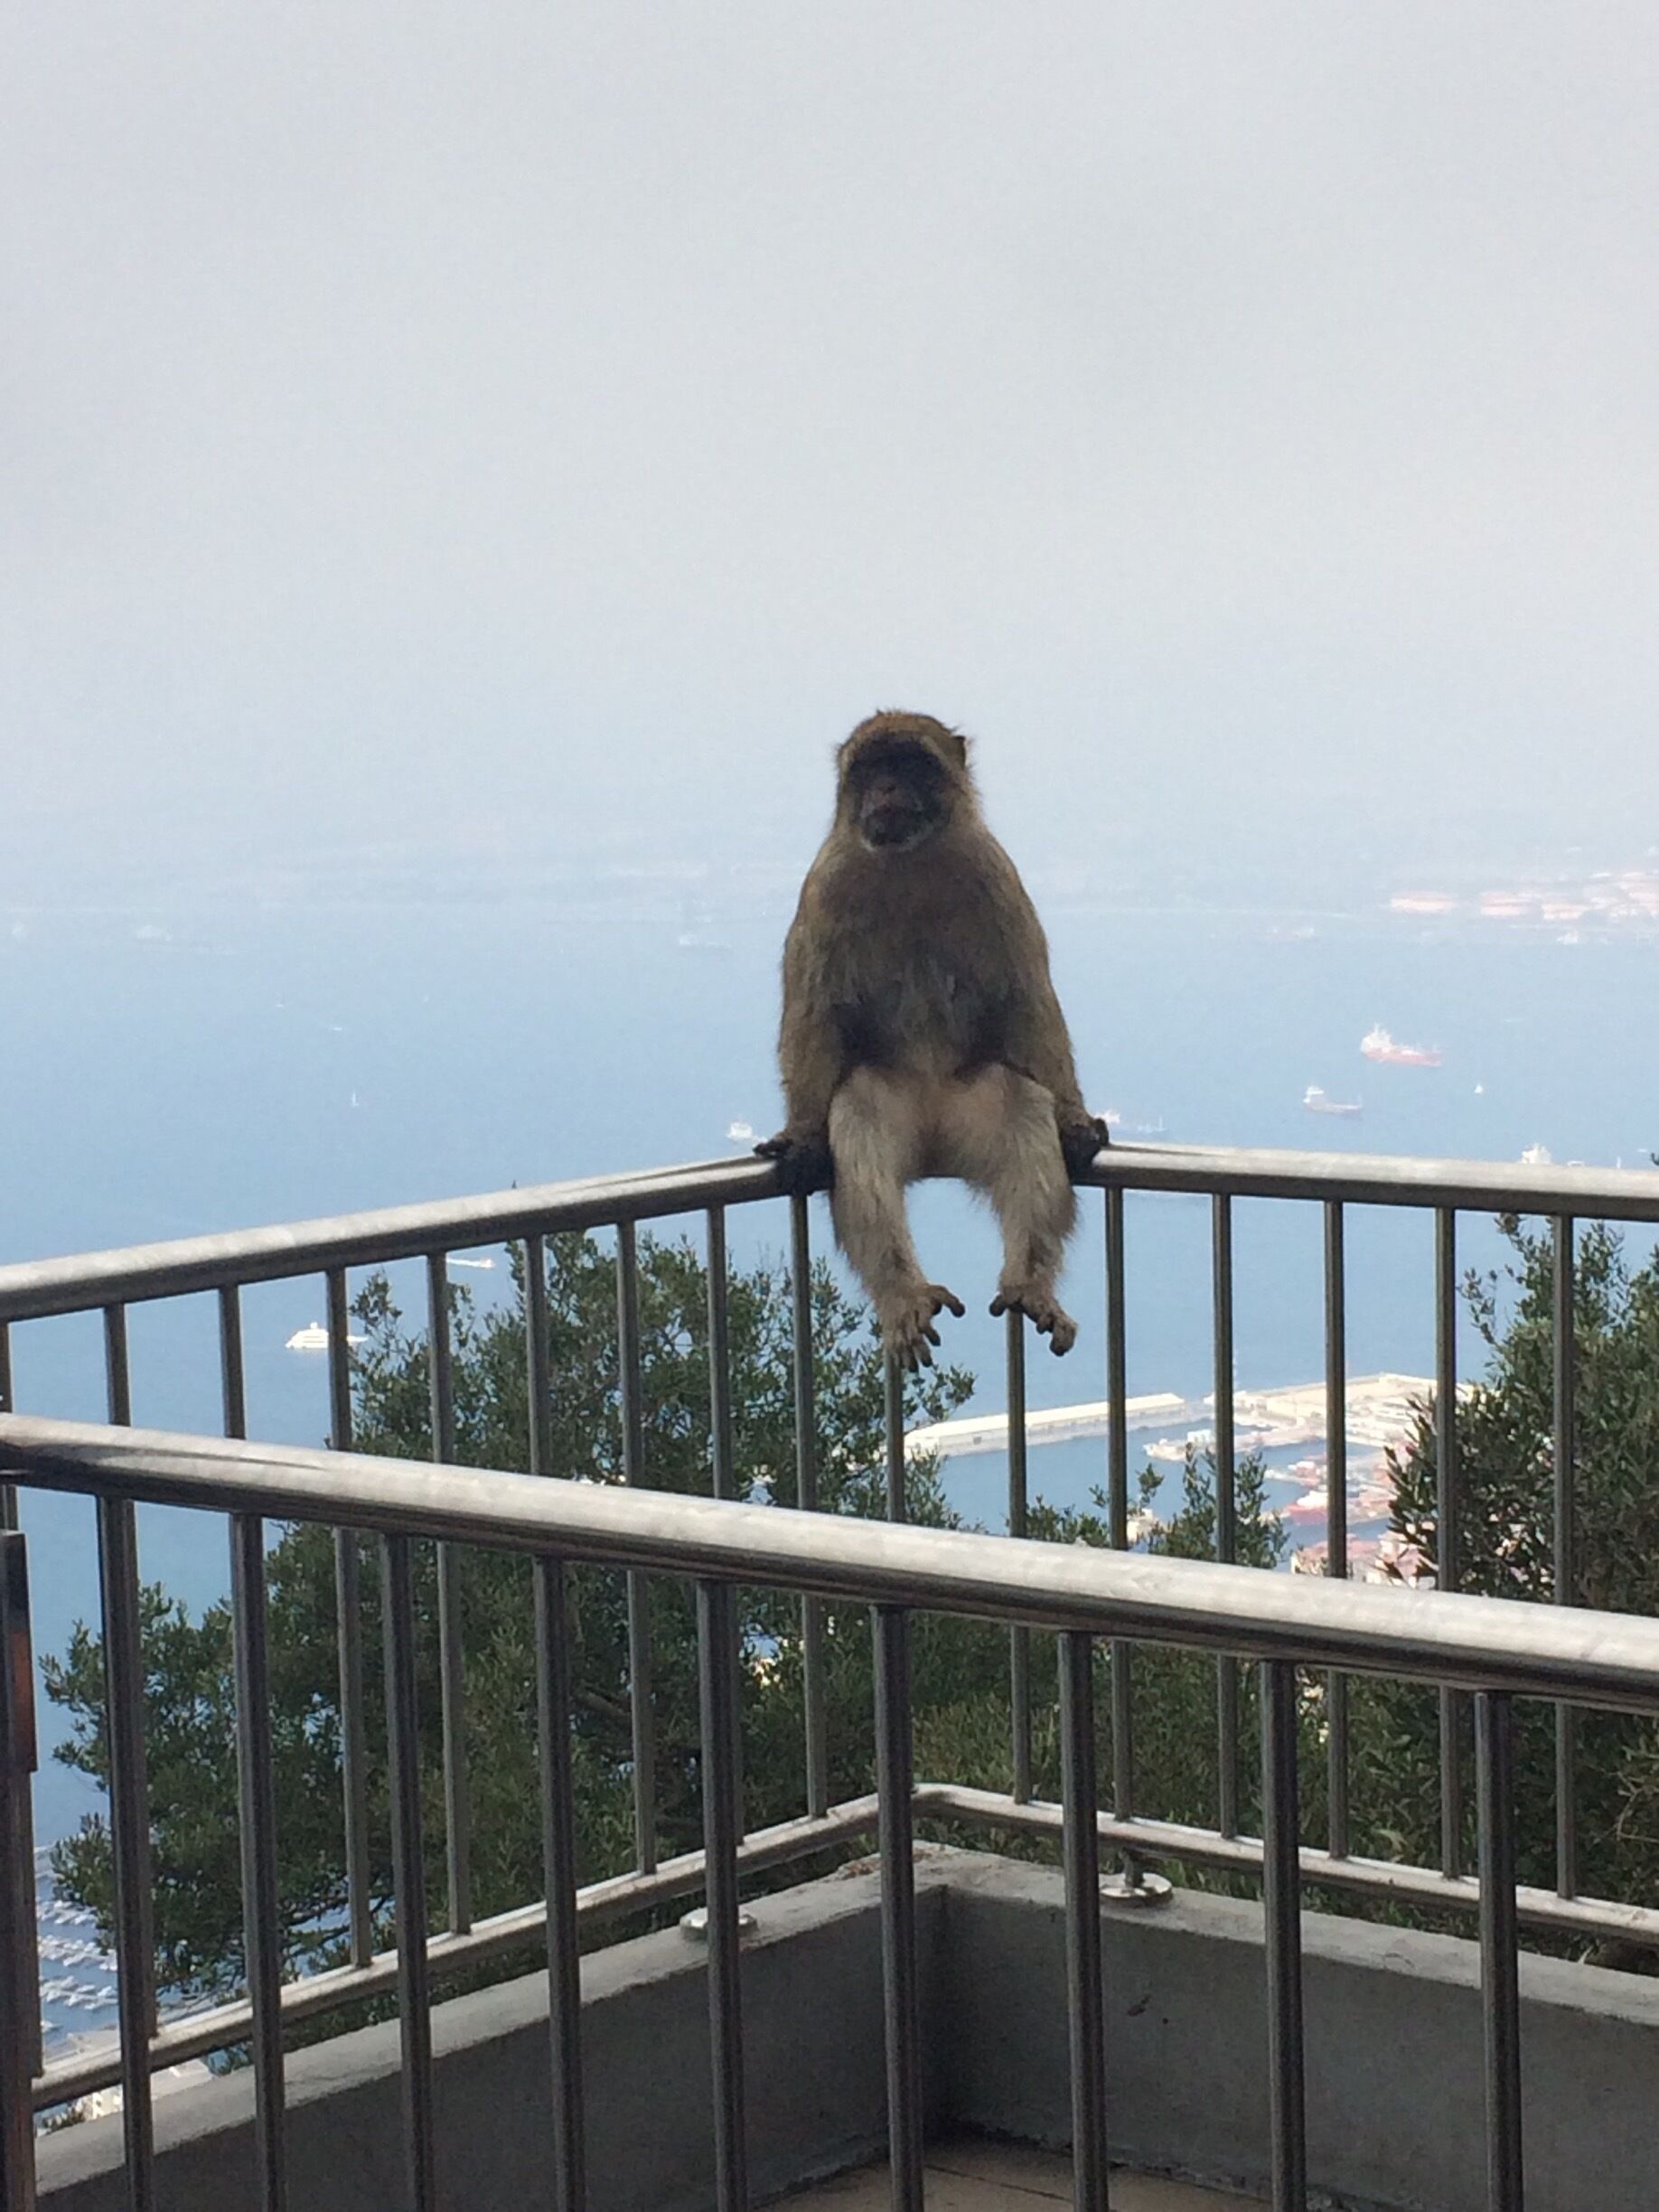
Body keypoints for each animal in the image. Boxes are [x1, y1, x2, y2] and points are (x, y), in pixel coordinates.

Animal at [758, 710, 1109, 1369]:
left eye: (910, 764)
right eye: (872, 767)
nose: (888, 789)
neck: (908, 862)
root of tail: (936, 1140)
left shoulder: (995, 876)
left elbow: (1028, 1001)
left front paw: (1076, 1122)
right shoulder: (825, 889)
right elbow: (814, 1013)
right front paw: (802, 1139)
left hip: (973, 1107)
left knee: (1022, 1104)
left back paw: (1029, 1281)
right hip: (898, 1108)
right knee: (859, 1113)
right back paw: (903, 1294)